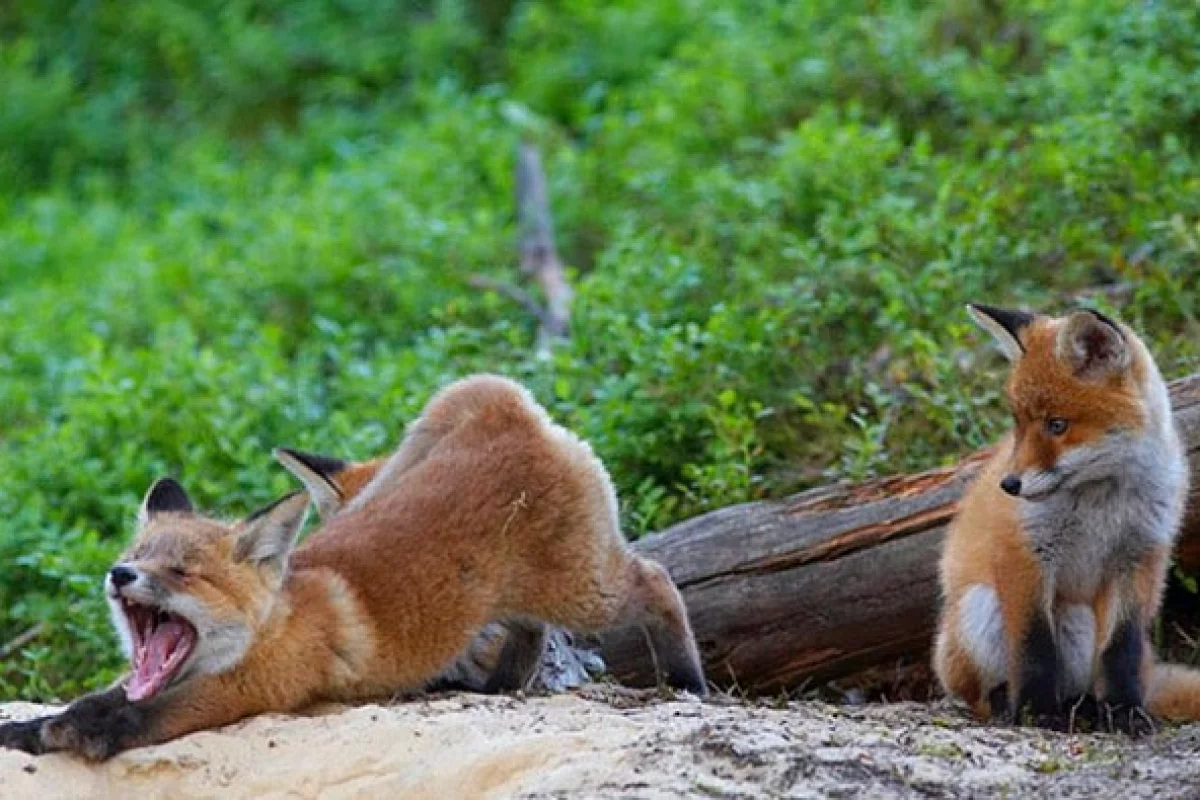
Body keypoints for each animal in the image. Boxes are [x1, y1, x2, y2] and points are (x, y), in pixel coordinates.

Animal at [0, 371, 705, 762]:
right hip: (518, 595)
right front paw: (31, 731)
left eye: (183, 573)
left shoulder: (248, 693)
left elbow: (133, 716)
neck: (267, 631)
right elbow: (95, 698)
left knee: (657, 580)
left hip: (585, 590)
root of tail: (505, 407)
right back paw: (496, 689)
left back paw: (688, 678)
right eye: (133, 559)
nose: (119, 577)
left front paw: (76, 735)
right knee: (530, 633)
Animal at [936, 307, 1200, 734]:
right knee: (977, 694)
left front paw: (1125, 710)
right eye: (1018, 423)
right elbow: (1034, 647)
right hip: (980, 608)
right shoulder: (1024, 552)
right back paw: (1006, 703)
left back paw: (1088, 707)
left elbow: (1122, 650)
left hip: (1083, 626)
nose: (1009, 485)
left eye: (1056, 425)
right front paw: (1036, 712)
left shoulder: (1140, 556)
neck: (1101, 501)